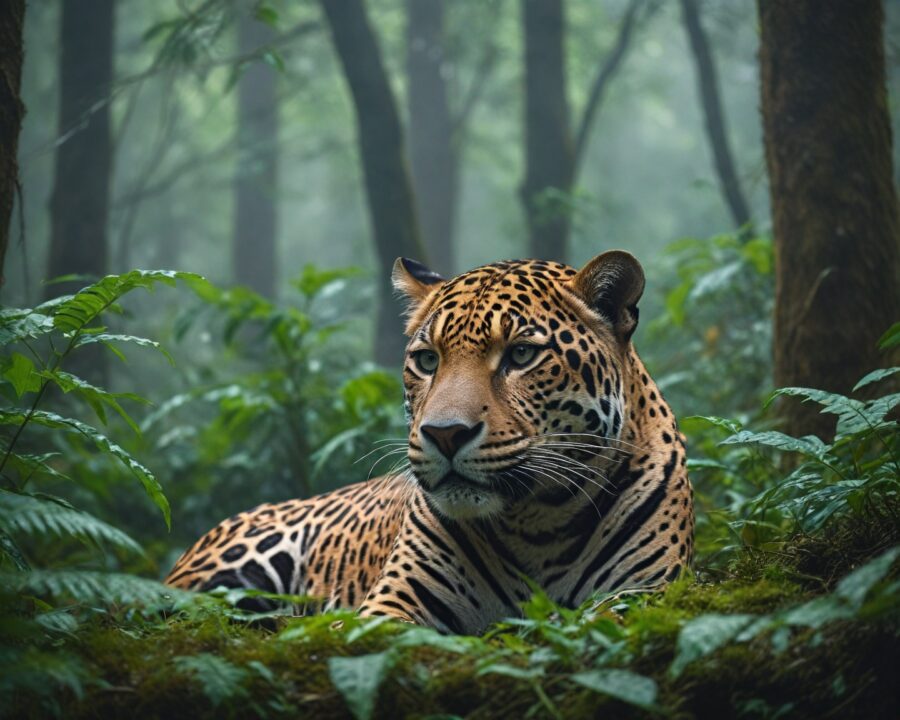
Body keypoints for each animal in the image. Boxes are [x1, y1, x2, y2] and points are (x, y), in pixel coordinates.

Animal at [165, 250, 694, 634]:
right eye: (426, 360)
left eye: (522, 354)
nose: (444, 433)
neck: (539, 524)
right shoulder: (392, 605)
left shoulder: (643, 596)